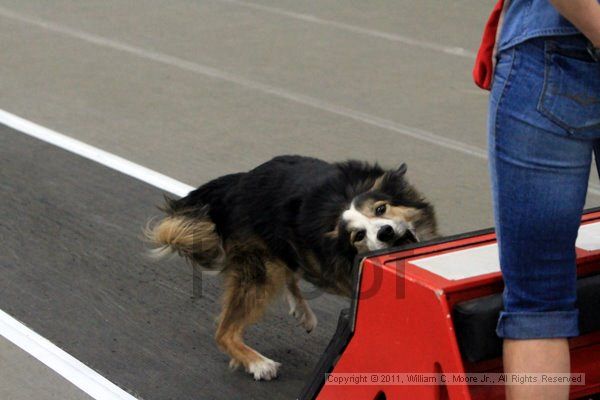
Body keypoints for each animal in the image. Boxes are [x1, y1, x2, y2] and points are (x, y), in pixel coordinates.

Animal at [145, 155, 436, 380]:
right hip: (261, 270)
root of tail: (236, 184)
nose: (386, 232)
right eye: (359, 236)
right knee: (224, 331)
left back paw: (301, 311)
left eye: (381, 209)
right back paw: (258, 363)